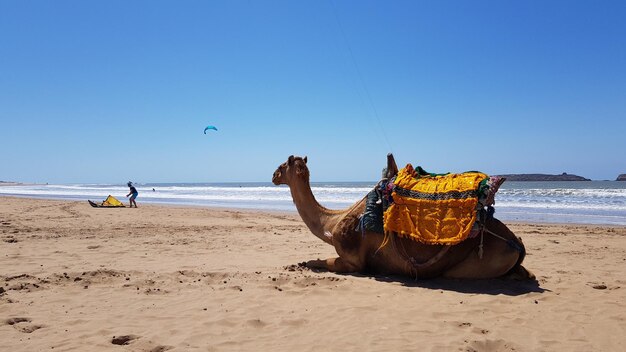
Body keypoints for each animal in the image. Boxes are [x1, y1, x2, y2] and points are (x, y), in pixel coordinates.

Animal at [270, 155, 532, 280]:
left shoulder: (353, 262)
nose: (273, 175)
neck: (332, 222)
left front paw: (302, 263)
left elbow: (316, 261)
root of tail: (518, 243)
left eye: (282, 164)